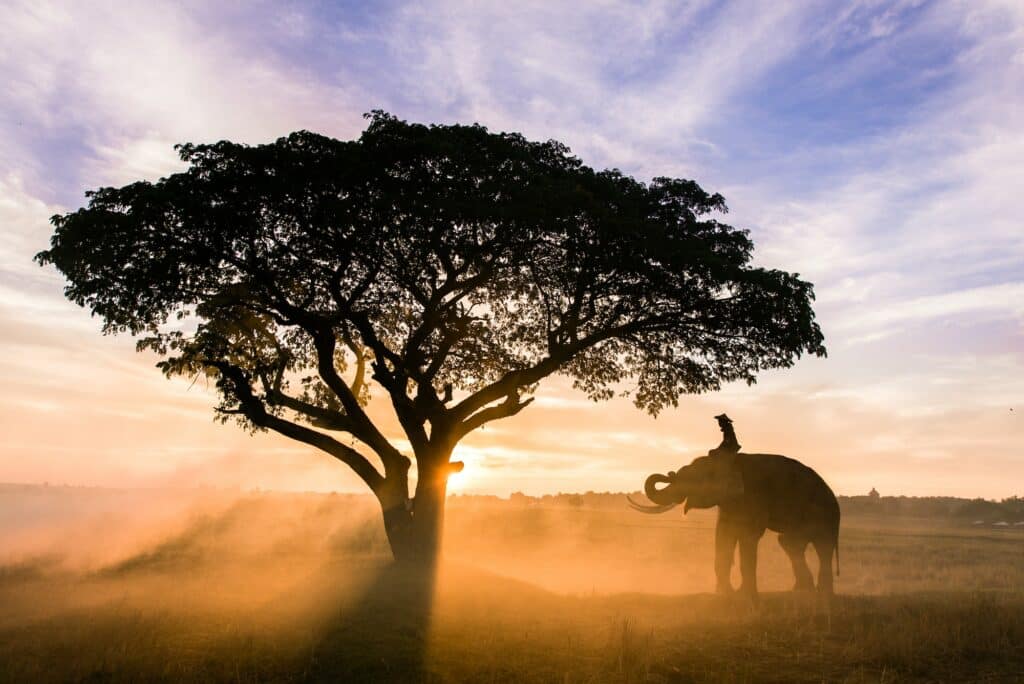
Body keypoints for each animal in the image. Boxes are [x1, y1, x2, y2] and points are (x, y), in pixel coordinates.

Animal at [630, 454, 839, 597]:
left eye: (689, 479)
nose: (669, 474)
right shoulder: (728, 503)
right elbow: (723, 534)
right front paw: (724, 593)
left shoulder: (753, 496)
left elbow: (748, 535)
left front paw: (743, 595)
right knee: (790, 543)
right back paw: (802, 591)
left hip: (822, 513)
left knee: (821, 546)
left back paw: (822, 593)